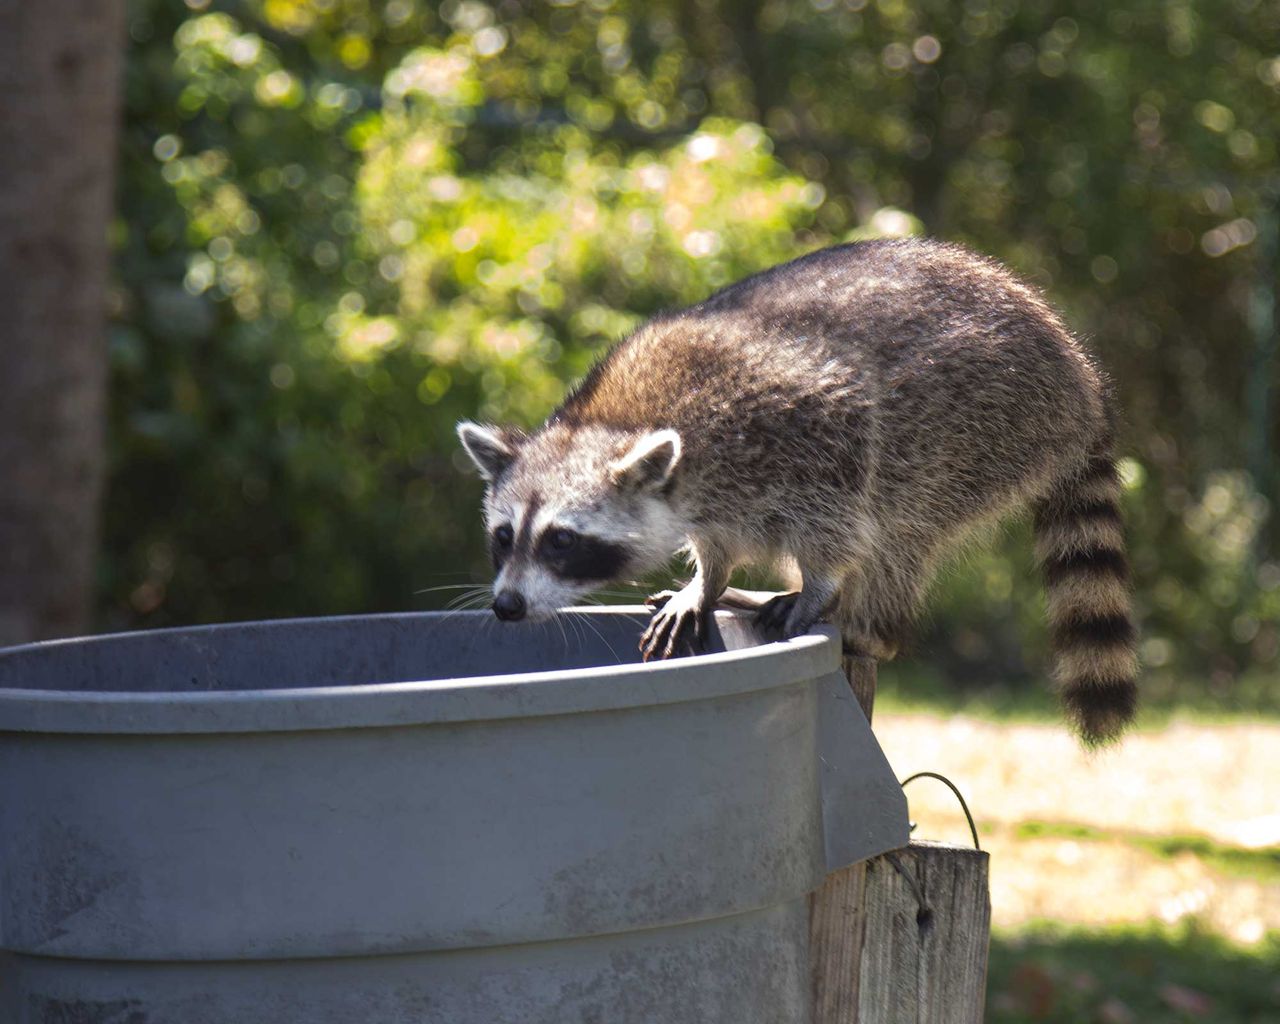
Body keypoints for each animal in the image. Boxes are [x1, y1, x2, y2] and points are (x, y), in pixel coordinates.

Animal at [460, 240, 1141, 742]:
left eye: (562, 541)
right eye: (503, 537)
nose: (507, 606)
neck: (614, 420)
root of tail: (1081, 380)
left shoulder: (797, 424)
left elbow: (841, 497)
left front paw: (817, 588)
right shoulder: (712, 489)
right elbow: (715, 540)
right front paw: (708, 581)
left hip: (985, 421)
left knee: (898, 522)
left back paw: (865, 621)